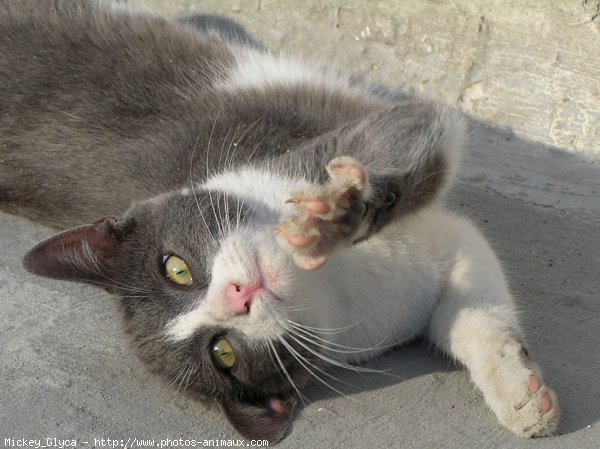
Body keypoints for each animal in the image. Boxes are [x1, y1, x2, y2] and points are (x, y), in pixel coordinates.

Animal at [2, 0, 560, 440]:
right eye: (223, 353)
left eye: (174, 268)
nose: (239, 295)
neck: (335, 282)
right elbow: (461, 313)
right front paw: (523, 395)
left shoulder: (317, 145)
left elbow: (415, 137)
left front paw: (335, 214)